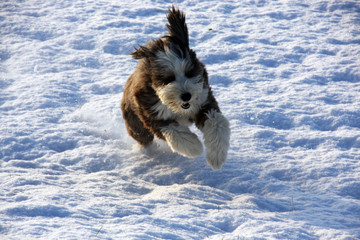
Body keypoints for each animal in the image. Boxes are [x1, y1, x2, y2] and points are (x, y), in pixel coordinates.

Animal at [119, 6, 229, 171]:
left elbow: (217, 123)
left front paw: (216, 156)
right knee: (143, 138)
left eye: (189, 73)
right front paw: (194, 147)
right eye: (168, 78)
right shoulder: (152, 115)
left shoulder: (203, 101)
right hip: (135, 124)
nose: (186, 96)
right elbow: (174, 131)